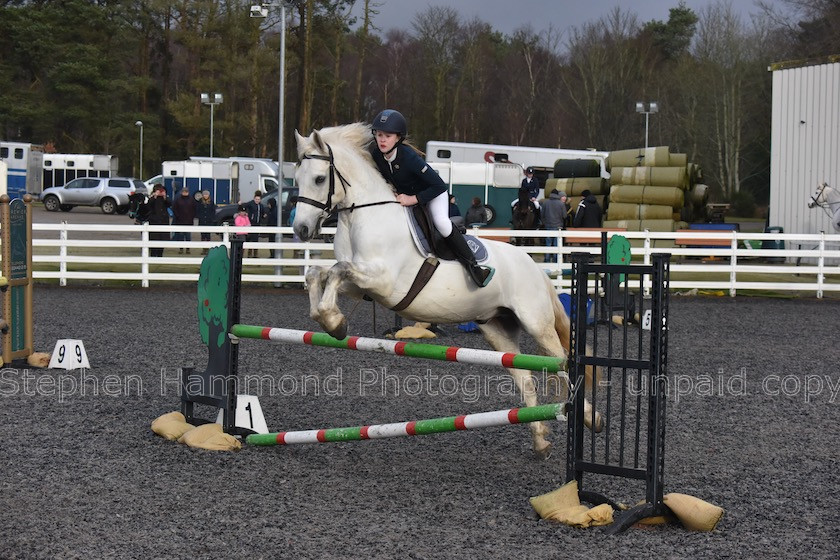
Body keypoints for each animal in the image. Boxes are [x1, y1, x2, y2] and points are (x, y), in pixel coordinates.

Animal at [292, 123, 600, 460]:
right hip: (497, 329)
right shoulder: (362, 286)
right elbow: (317, 273)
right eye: (297, 178)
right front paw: (329, 319)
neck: (362, 215)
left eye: (319, 179)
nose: (301, 230)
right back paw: (540, 441)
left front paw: (334, 322)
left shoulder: (382, 280)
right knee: (525, 377)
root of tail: (533, 266)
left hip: (536, 322)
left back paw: (591, 418)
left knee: (562, 364)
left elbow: (336, 270)